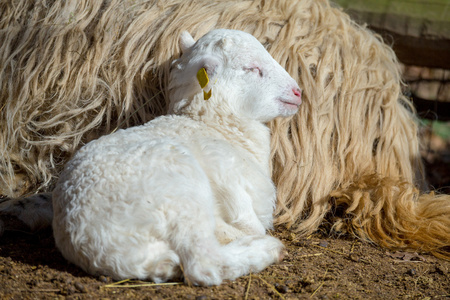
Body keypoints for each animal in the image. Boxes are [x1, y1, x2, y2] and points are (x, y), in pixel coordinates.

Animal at [52, 28, 302, 286]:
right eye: (252, 68)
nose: (298, 91)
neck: (211, 124)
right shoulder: (227, 175)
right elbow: (248, 221)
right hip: (181, 192)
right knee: (204, 263)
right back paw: (265, 248)